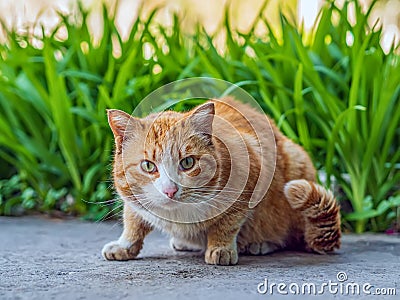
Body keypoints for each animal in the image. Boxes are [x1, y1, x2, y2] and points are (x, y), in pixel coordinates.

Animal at [102, 96, 340, 264]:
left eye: (188, 162)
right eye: (148, 166)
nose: (170, 191)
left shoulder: (250, 180)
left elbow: (227, 223)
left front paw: (221, 248)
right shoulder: (134, 200)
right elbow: (133, 222)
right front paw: (124, 245)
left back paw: (260, 243)